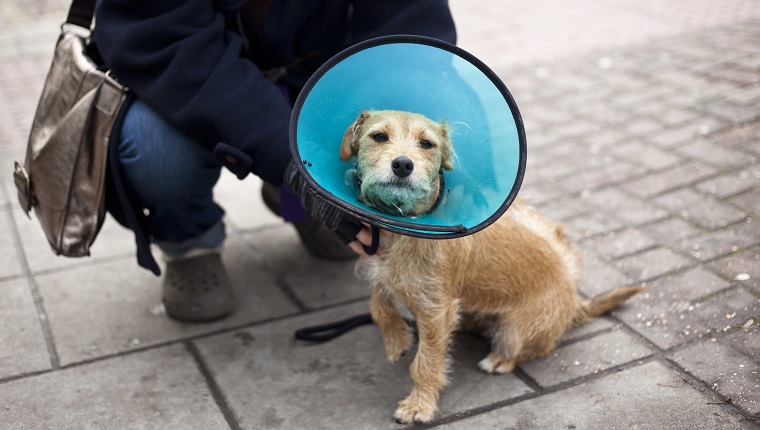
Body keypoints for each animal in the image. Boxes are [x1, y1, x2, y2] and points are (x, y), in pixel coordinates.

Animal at [338, 110, 640, 424]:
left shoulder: (435, 311)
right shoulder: (383, 272)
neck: (404, 230)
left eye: (426, 144)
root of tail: (573, 301)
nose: (402, 165)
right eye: (379, 136)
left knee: (534, 348)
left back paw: (499, 360)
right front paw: (397, 339)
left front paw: (419, 405)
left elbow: (426, 361)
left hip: (514, 333)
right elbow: (378, 304)